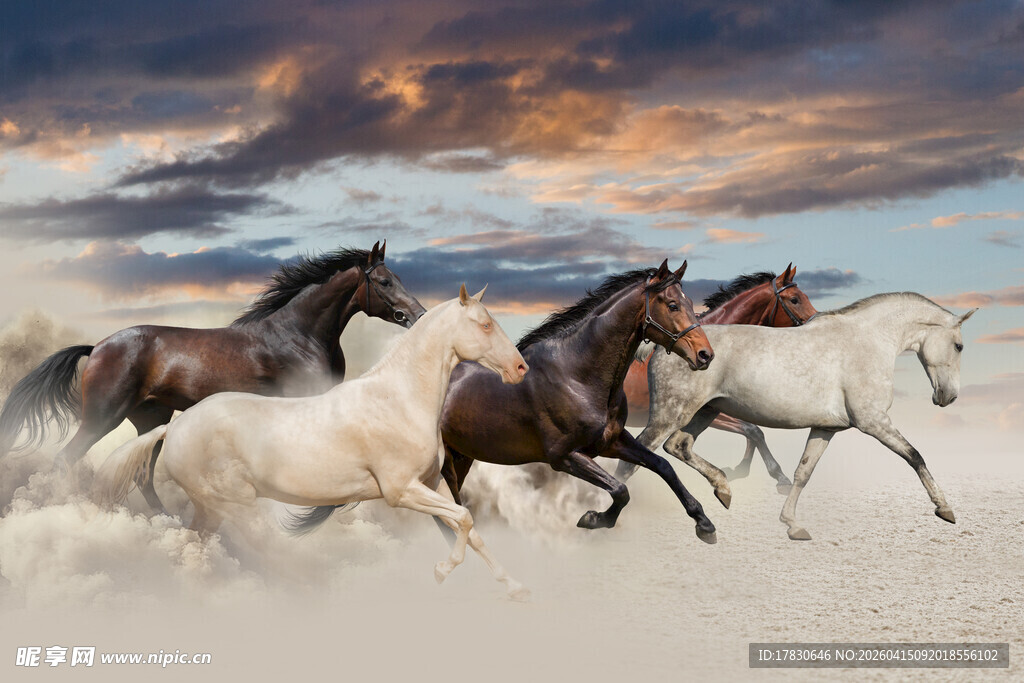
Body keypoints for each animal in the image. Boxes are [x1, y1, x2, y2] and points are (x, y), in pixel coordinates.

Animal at [0, 241, 426, 513]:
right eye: (384, 281)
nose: (418, 315)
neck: (298, 334)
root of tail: (98, 346)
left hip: (151, 420)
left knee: (142, 475)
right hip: (103, 417)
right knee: (65, 460)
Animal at [94, 285, 531, 599]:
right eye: (485, 324)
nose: (520, 368)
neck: (398, 399)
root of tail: (176, 428)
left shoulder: (431, 483)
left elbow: (469, 526)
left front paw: (515, 588)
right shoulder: (401, 490)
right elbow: (465, 519)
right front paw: (441, 572)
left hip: (212, 510)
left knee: (198, 544)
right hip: (235, 506)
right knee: (259, 549)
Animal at [614, 293, 977, 540]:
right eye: (959, 346)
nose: (948, 397)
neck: (866, 342)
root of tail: (664, 345)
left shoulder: (825, 428)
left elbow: (803, 473)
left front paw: (792, 524)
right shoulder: (873, 422)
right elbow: (915, 455)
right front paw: (945, 509)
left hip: (705, 412)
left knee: (678, 447)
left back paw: (723, 489)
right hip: (670, 413)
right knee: (636, 459)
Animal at [624, 264, 817, 493]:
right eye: (795, 299)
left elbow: (752, 431)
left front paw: (738, 471)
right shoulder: (710, 412)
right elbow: (753, 430)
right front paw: (778, 476)